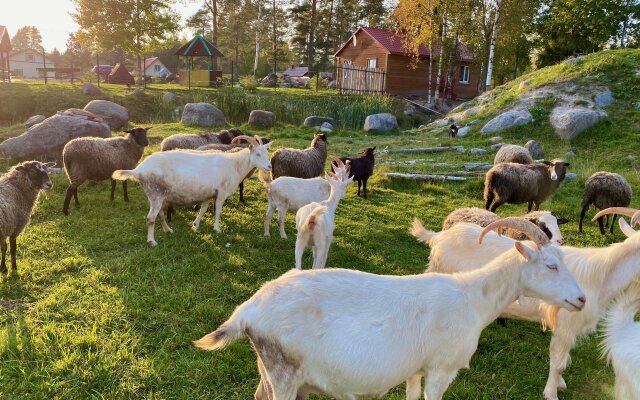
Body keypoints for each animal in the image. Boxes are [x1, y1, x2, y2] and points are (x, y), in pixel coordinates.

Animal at [113, 136, 272, 245]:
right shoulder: (221, 192)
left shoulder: (208, 193)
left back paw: (168, 230)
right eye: (257, 154)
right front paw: (217, 229)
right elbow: (218, 212)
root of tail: (138, 170)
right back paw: (152, 241)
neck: (234, 164)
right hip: (155, 193)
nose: (269, 167)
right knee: (150, 218)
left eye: (266, 152)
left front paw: (195, 225)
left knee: (160, 215)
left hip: (156, 196)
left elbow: (203, 209)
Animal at [194, 219, 584, 400]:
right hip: (283, 371)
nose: (580, 299)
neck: (473, 297)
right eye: (551, 265)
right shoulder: (442, 369)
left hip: (270, 369)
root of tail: (248, 310)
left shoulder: (416, 369)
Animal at [410, 208, 640, 398]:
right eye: (551, 266)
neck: (601, 275)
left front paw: (560, 383)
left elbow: (563, 360)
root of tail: (439, 237)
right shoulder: (564, 327)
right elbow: (558, 363)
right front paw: (551, 393)